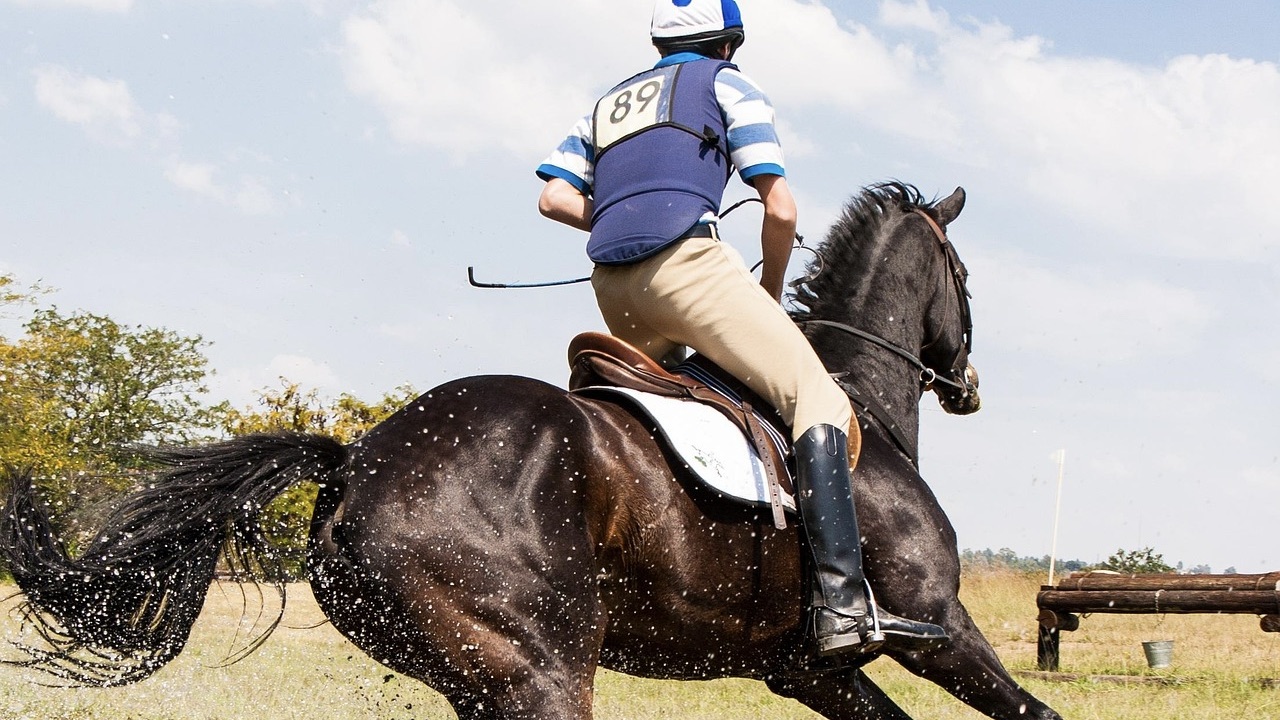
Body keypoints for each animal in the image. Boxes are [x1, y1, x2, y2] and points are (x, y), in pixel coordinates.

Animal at [1, 182, 1062, 719]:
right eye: (967, 279)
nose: (969, 385)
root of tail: (356, 463)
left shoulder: (807, 671)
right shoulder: (936, 629)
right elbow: (1032, 713)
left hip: (481, 681)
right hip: (541, 673)